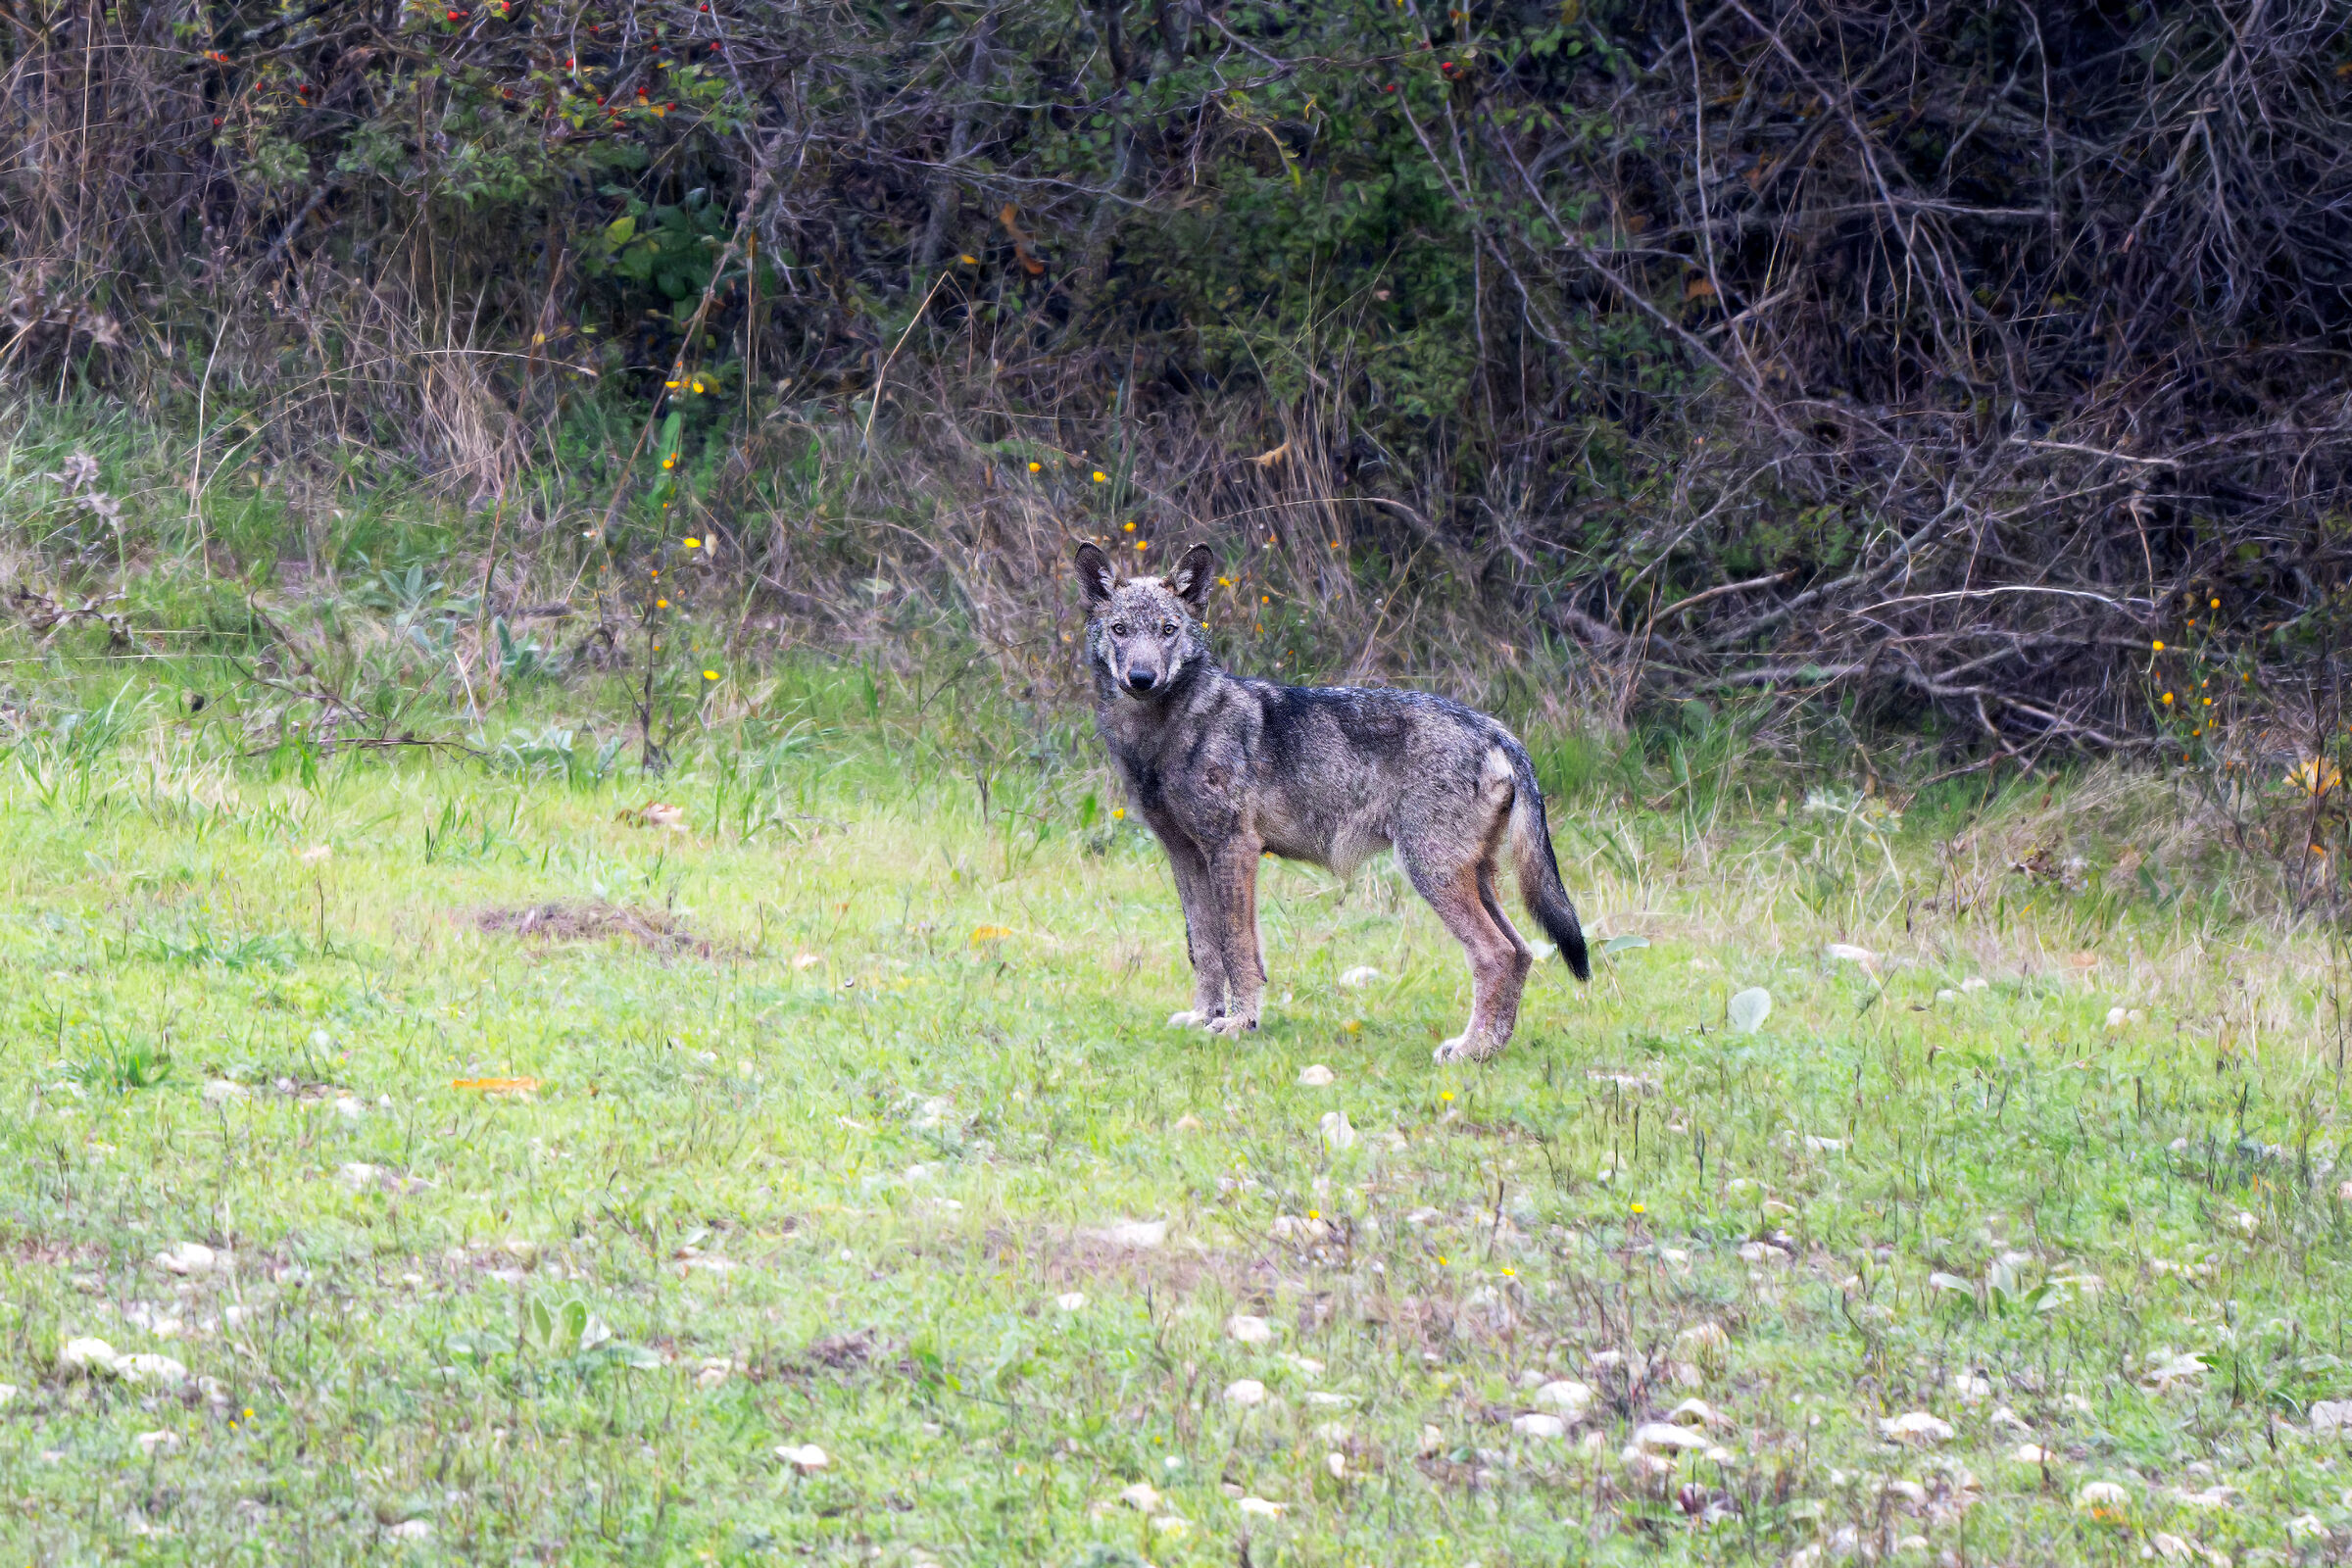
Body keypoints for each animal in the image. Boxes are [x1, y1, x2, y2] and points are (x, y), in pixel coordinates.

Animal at [1076, 541, 1590, 1063]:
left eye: (1168, 630)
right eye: (1120, 630)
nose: (1141, 678)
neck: (1165, 733)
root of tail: (1498, 731)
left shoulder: (1234, 849)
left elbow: (1237, 947)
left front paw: (1240, 1023)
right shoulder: (1184, 855)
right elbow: (1204, 947)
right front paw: (1204, 1017)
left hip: (1431, 871)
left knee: (1497, 953)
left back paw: (1469, 1050)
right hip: (1471, 877)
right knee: (1522, 950)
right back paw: (1491, 1048)